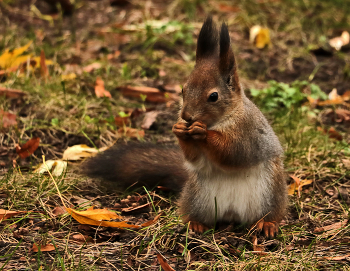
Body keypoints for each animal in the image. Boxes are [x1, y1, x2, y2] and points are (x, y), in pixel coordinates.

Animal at [82, 16, 288, 238]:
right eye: (183, 89)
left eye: (213, 96)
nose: (186, 117)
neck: (220, 120)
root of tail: (232, 215)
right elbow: (197, 160)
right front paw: (180, 131)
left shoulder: (248, 133)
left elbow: (234, 153)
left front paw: (203, 134)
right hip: (198, 198)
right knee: (197, 215)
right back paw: (195, 224)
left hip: (270, 193)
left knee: (270, 214)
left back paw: (267, 224)